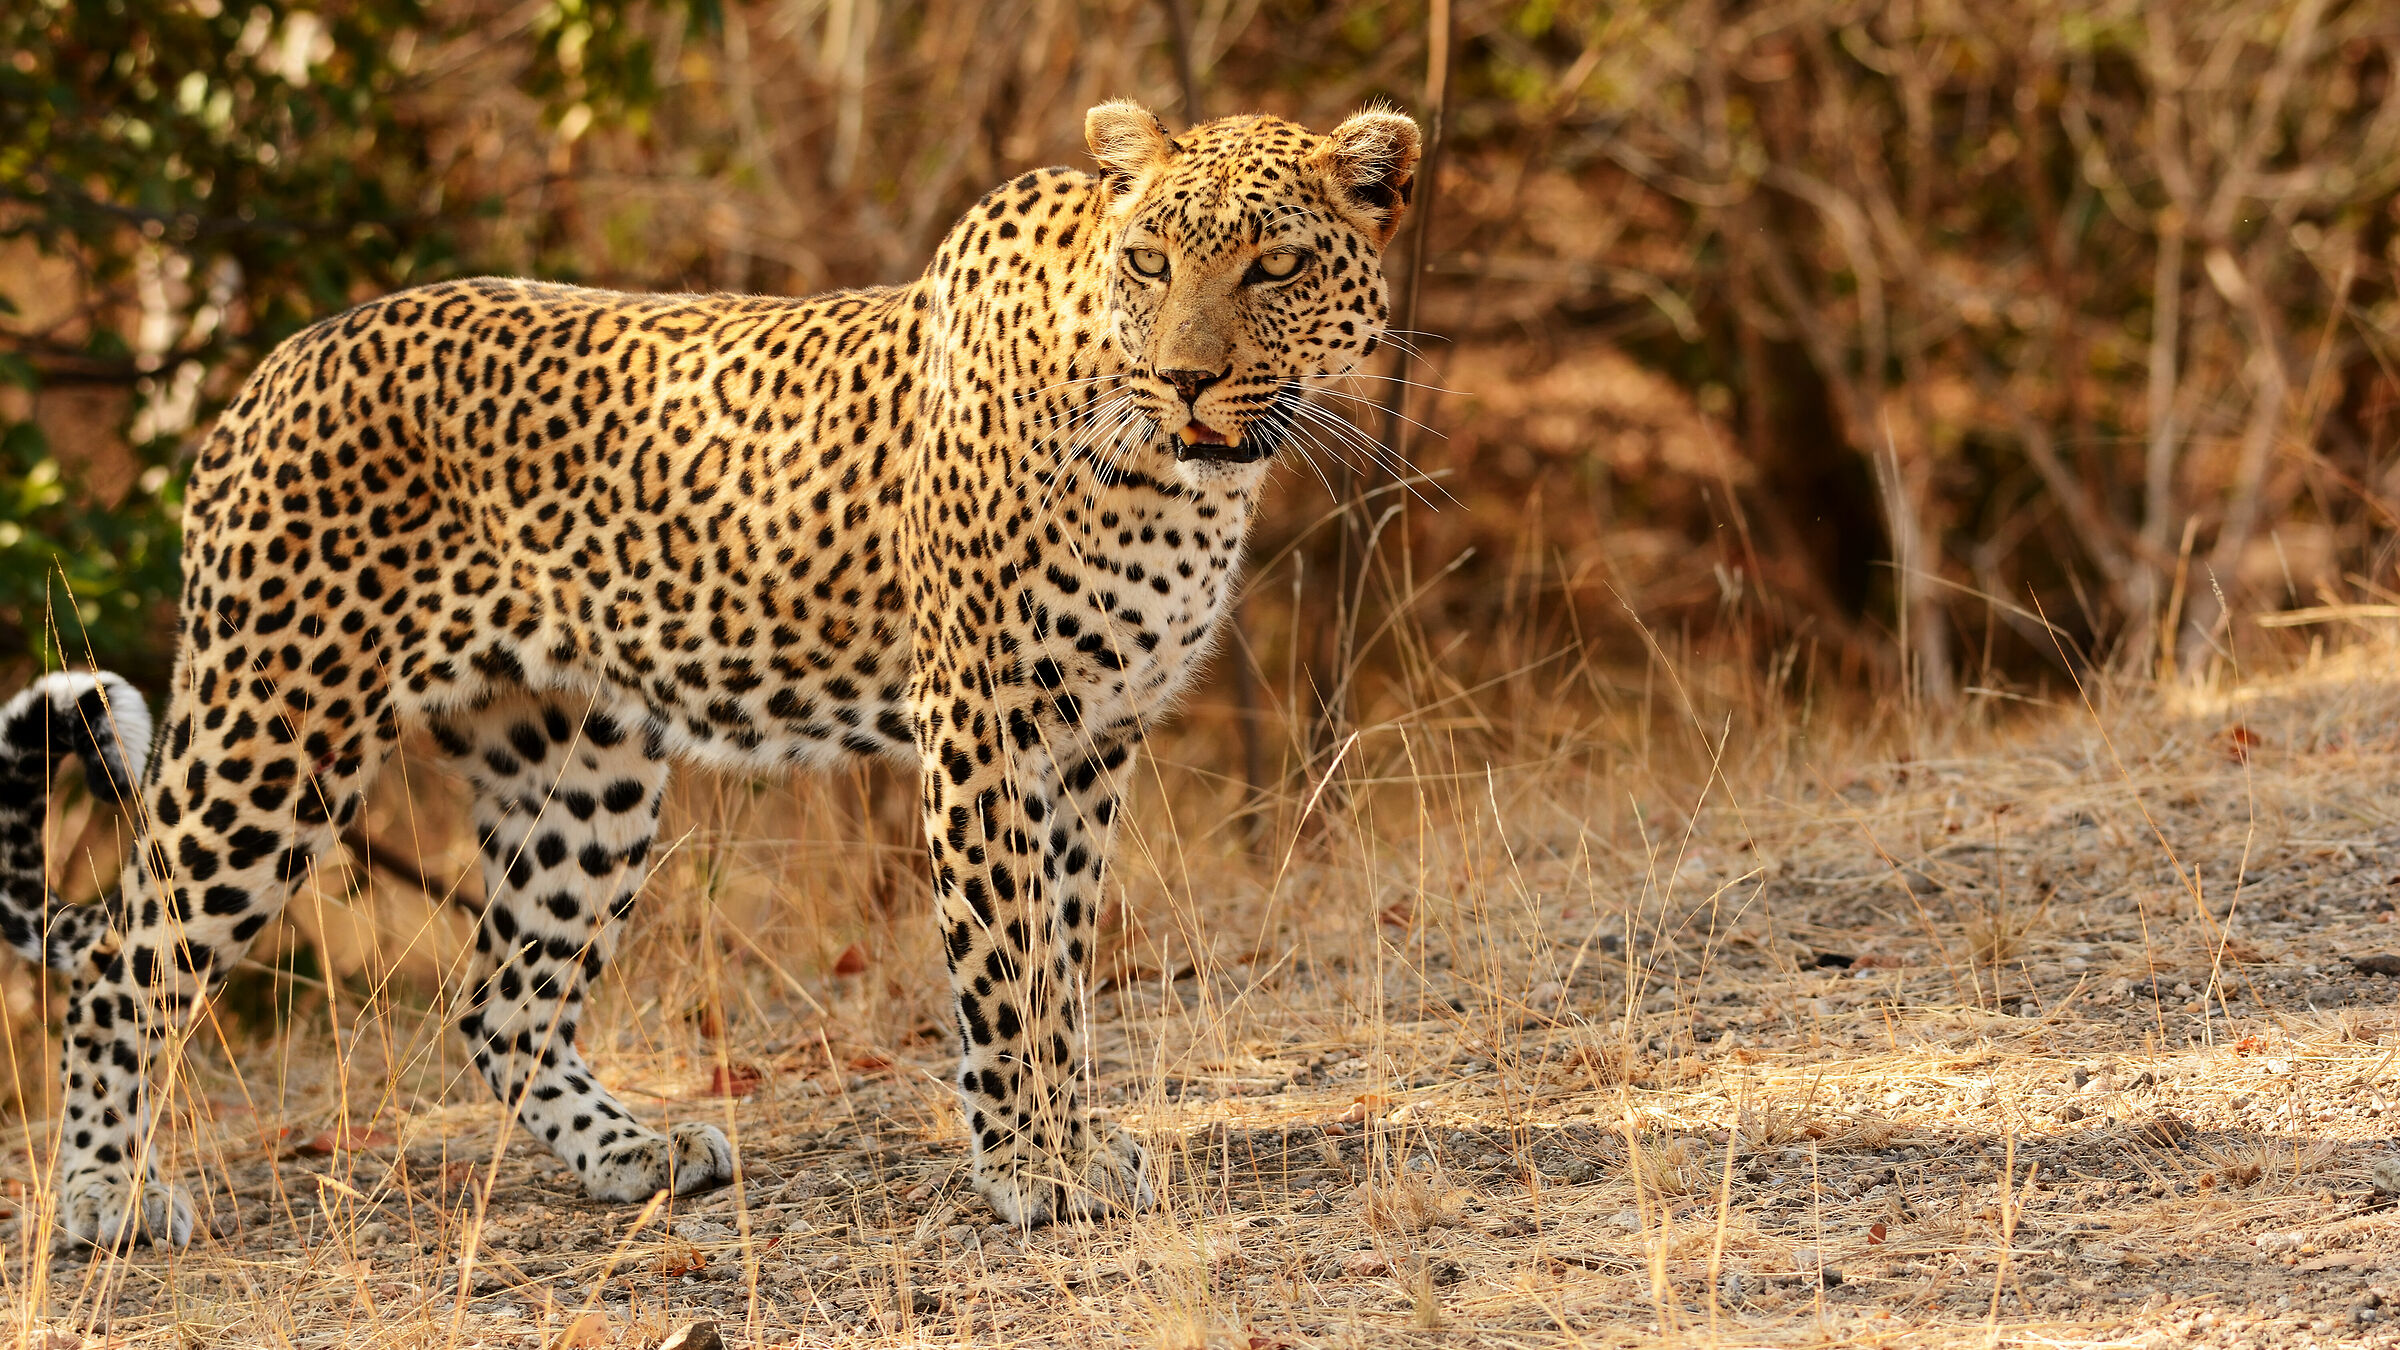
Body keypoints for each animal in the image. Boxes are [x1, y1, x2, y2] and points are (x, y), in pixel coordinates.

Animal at [0, 98, 1422, 1249]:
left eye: (1275, 263)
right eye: (1150, 260)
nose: (1186, 378)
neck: (1178, 482)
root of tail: (271, 371)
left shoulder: (1090, 740)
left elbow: (1063, 964)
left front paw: (1076, 1142)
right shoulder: (985, 725)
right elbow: (1003, 964)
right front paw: (1032, 1169)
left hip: (580, 766)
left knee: (501, 996)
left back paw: (640, 1152)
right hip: (276, 724)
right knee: (124, 960)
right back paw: (106, 1203)